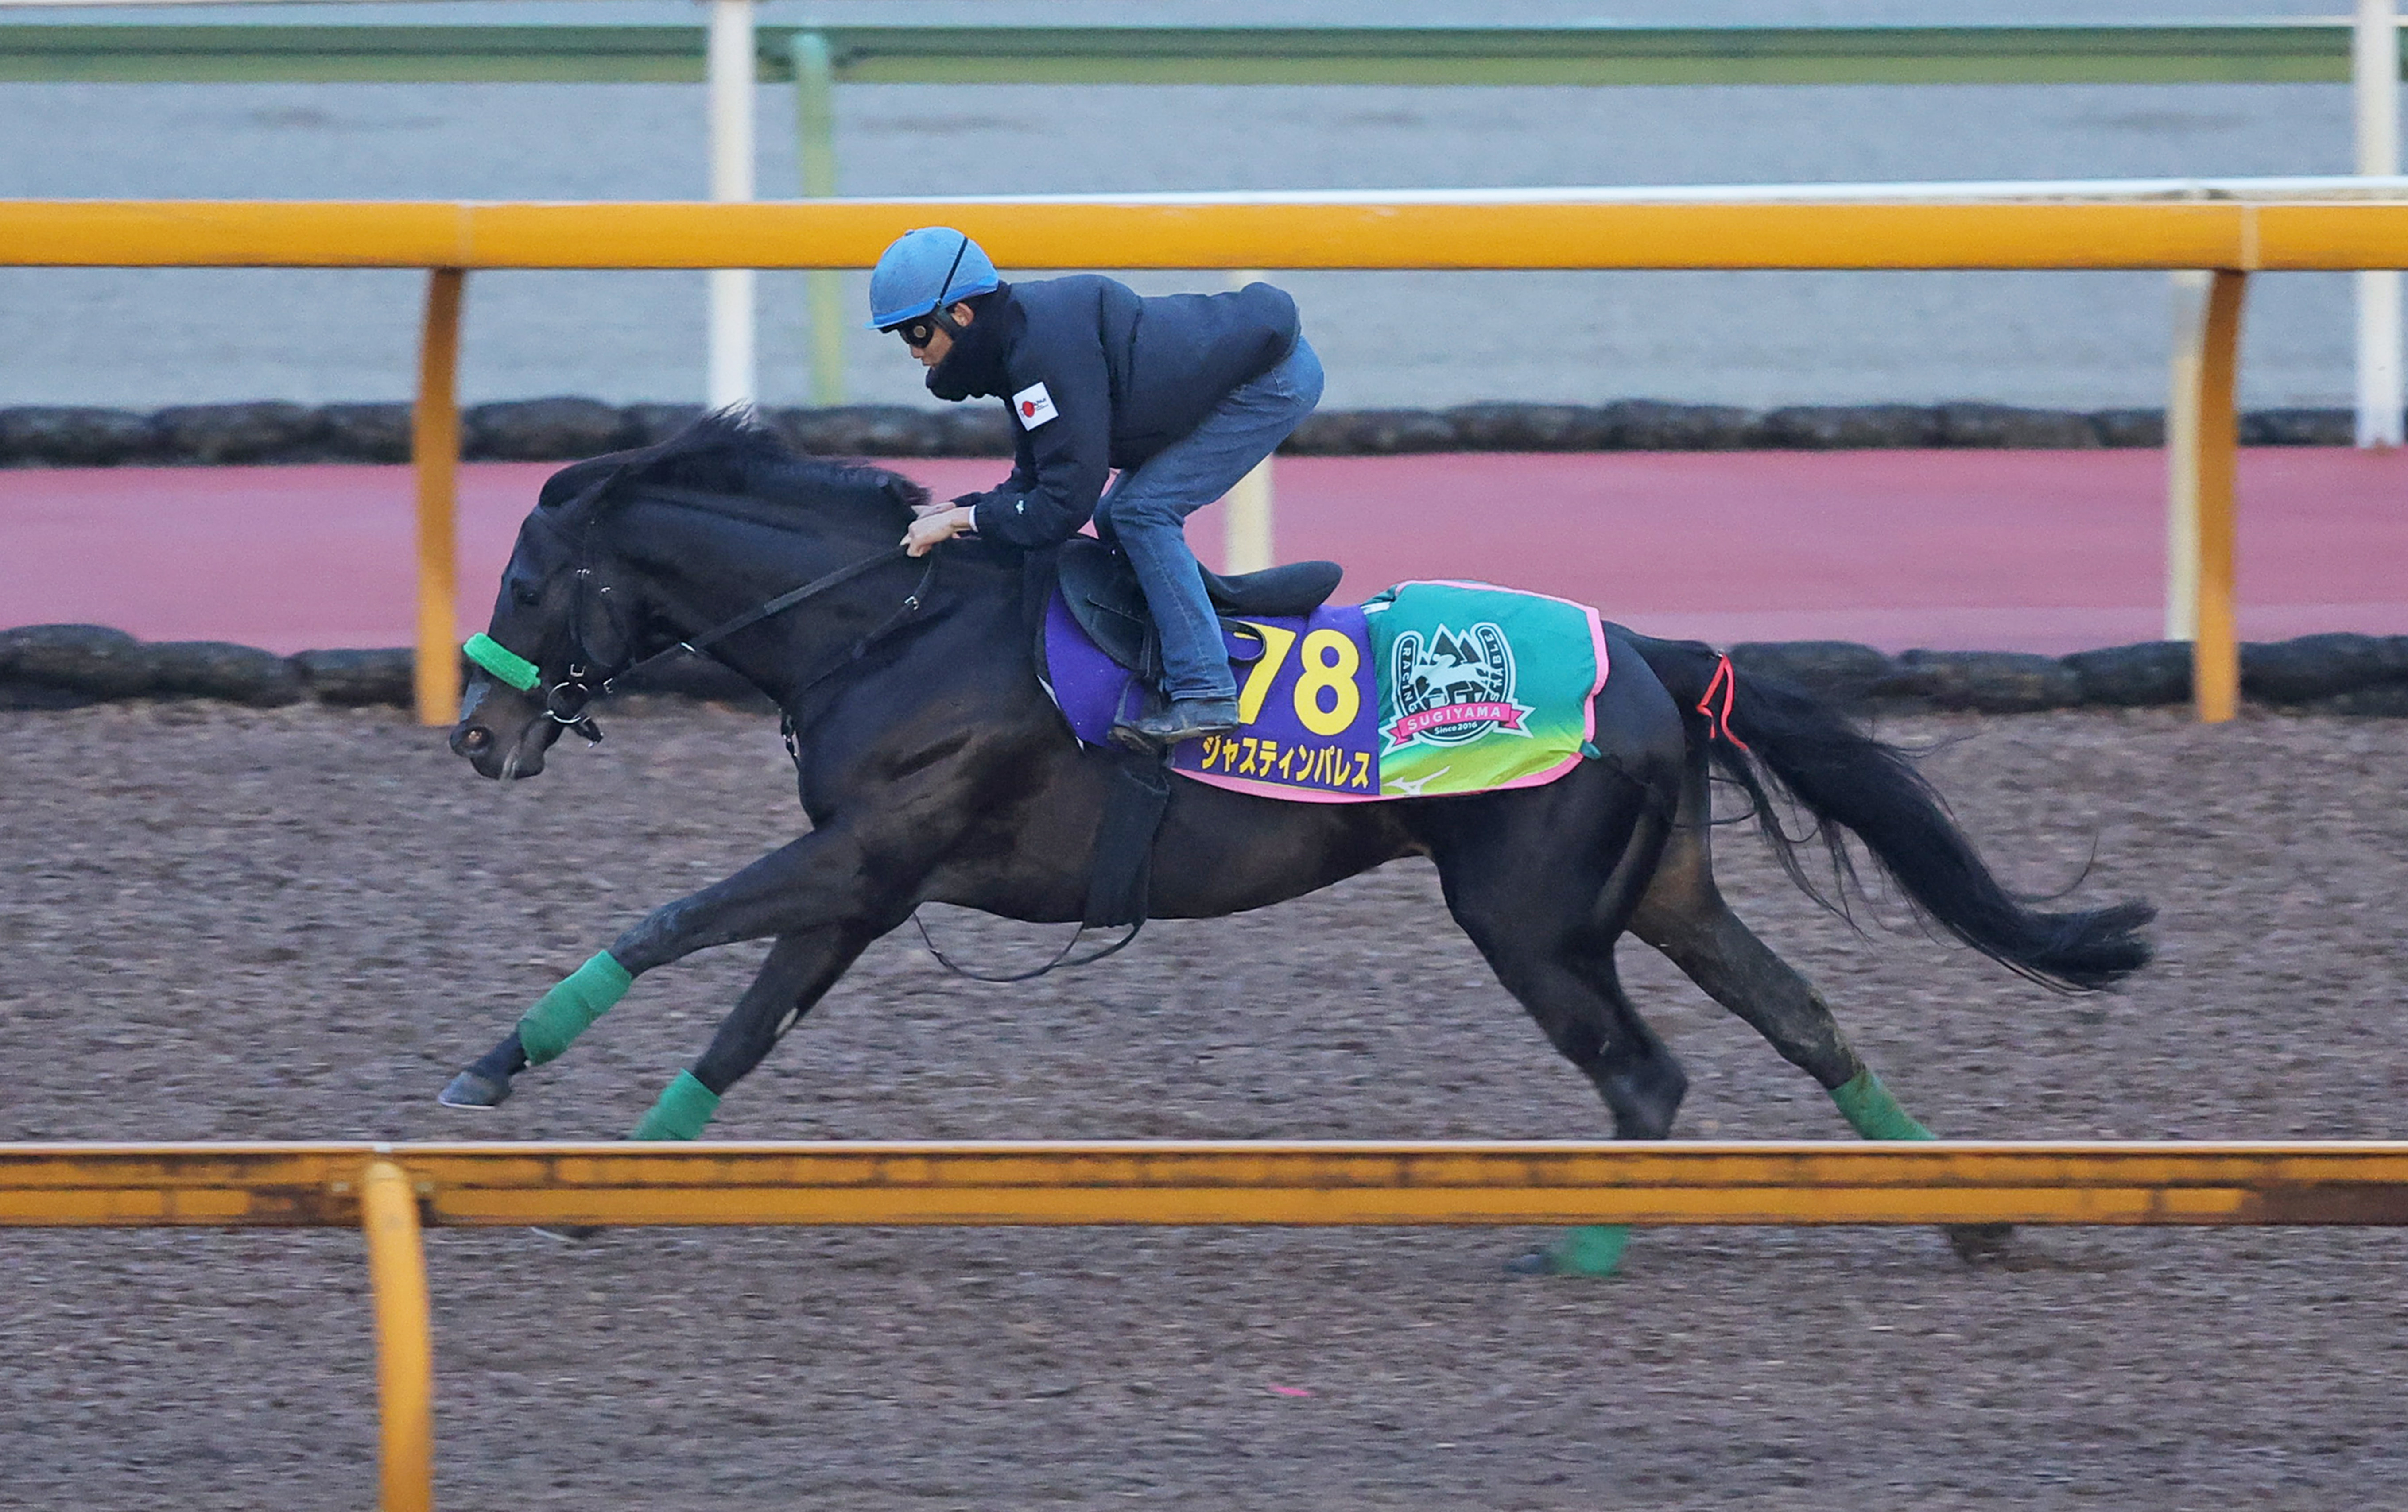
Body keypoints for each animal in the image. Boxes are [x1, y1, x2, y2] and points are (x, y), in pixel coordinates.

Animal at [439, 412, 2153, 1273]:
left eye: (520, 581)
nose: (476, 734)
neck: (894, 621)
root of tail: (1654, 656)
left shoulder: (869, 854)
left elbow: (664, 923)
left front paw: (491, 1068)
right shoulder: (866, 884)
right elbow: (736, 1029)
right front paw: (610, 1181)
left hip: (1528, 916)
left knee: (1645, 1077)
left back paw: (1581, 1250)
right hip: (1658, 892)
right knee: (1802, 1018)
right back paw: (1966, 1210)